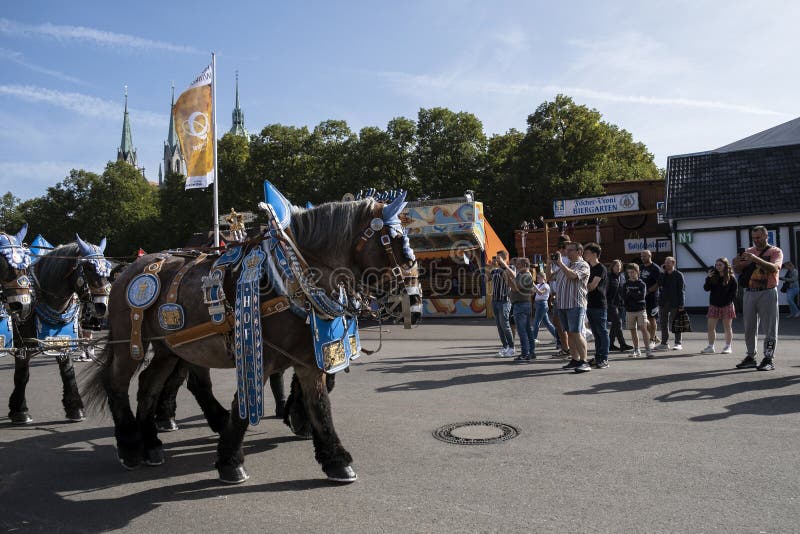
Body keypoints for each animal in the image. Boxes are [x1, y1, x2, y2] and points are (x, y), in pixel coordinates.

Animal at [84, 193, 416, 486]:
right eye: (394, 239)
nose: (411, 291)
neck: (291, 274)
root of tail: (128, 270)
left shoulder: (308, 360)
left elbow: (320, 405)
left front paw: (335, 459)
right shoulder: (260, 355)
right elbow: (242, 407)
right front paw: (230, 462)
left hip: (168, 348)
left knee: (148, 386)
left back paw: (151, 443)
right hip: (130, 344)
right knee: (118, 384)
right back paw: (129, 445)